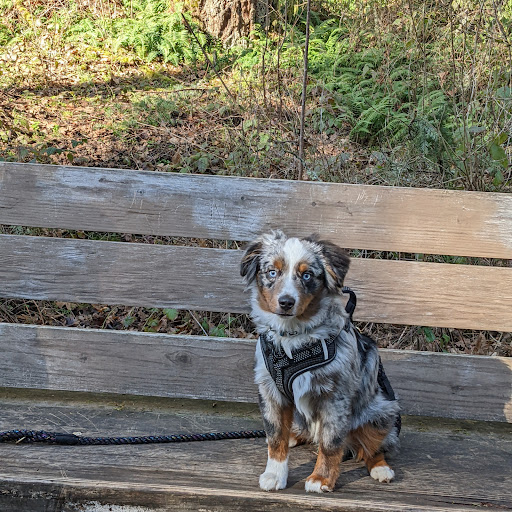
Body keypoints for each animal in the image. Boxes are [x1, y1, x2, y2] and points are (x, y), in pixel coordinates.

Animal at [240, 231, 400, 492]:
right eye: (272, 272)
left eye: (307, 275)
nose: (286, 302)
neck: (294, 339)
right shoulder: (271, 390)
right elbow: (275, 437)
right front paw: (275, 474)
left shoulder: (335, 396)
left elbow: (330, 443)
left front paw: (321, 478)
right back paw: (295, 436)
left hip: (381, 411)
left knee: (373, 446)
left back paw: (380, 468)